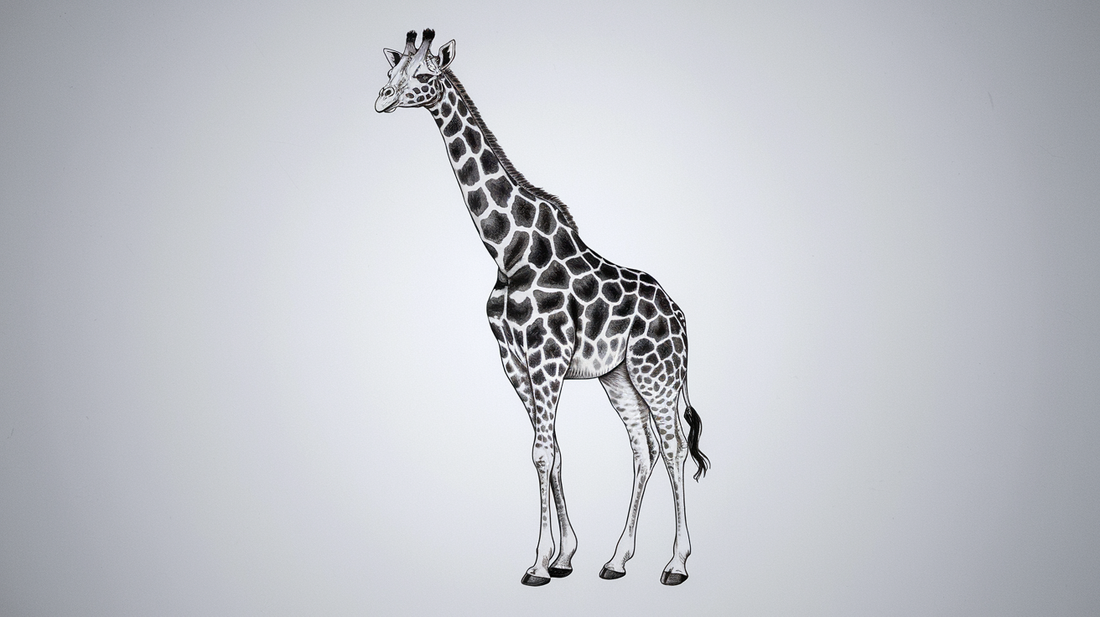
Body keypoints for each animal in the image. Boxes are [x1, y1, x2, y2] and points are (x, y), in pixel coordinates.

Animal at [374, 29, 710, 586]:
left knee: (675, 447)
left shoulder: (546, 358)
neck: (507, 251)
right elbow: (550, 453)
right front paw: (564, 556)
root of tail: (681, 317)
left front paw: (537, 564)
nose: (381, 100)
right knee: (643, 450)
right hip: (619, 376)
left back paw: (677, 564)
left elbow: (542, 452)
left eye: (422, 75)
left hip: (657, 373)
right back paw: (616, 560)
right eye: (390, 71)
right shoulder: (514, 362)